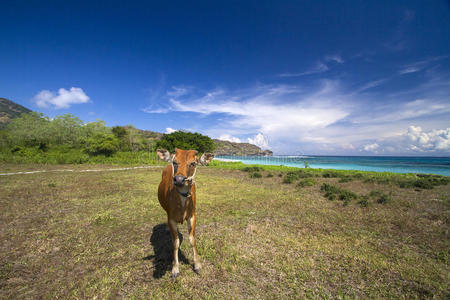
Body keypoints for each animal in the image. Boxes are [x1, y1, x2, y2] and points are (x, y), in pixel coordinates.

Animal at [156, 149, 214, 278]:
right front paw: (175, 269)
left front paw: (197, 265)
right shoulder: (171, 218)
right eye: (174, 162)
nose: (179, 179)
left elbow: (192, 240)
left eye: (193, 163)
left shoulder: (192, 216)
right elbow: (175, 243)